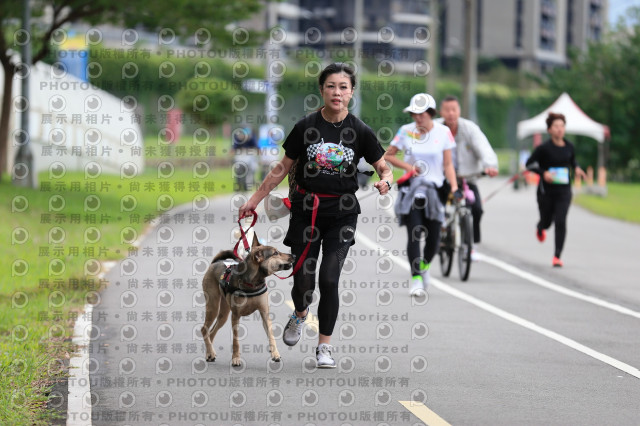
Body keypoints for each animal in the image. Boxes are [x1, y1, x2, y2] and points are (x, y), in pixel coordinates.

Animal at [200, 233, 296, 366]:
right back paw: (210, 352)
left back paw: (210, 353)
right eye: (275, 253)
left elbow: (271, 336)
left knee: (211, 332)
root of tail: (216, 262)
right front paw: (236, 358)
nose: (294, 255)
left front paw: (275, 354)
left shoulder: (265, 313)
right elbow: (236, 341)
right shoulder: (235, 316)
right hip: (213, 306)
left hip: (224, 314)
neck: (253, 282)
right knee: (204, 329)